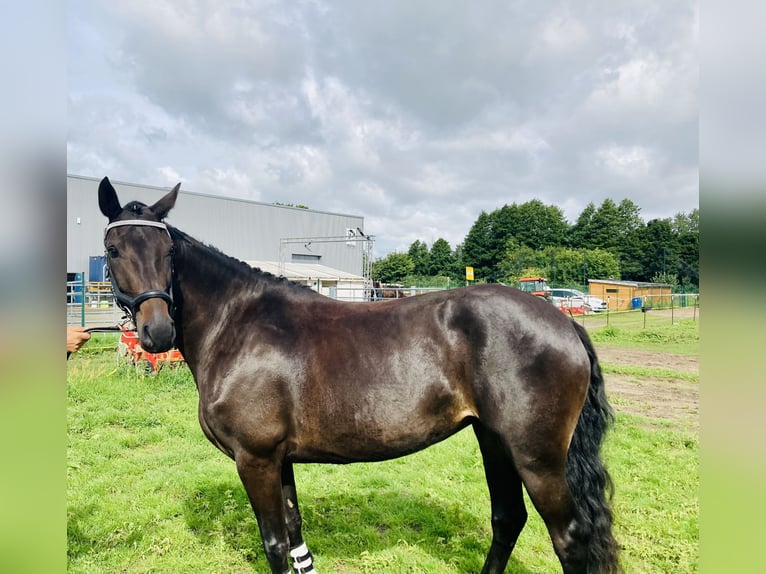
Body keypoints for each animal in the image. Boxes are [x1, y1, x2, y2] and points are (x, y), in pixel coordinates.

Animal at [99, 178, 620, 572]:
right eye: (113, 248)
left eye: (168, 252)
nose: (157, 332)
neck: (238, 323)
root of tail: (564, 323)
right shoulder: (279, 460)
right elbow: (295, 536)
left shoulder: (255, 458)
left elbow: (274, 544)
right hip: (494, 441)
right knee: (507, 519)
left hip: (537, 458)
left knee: (568, 537)